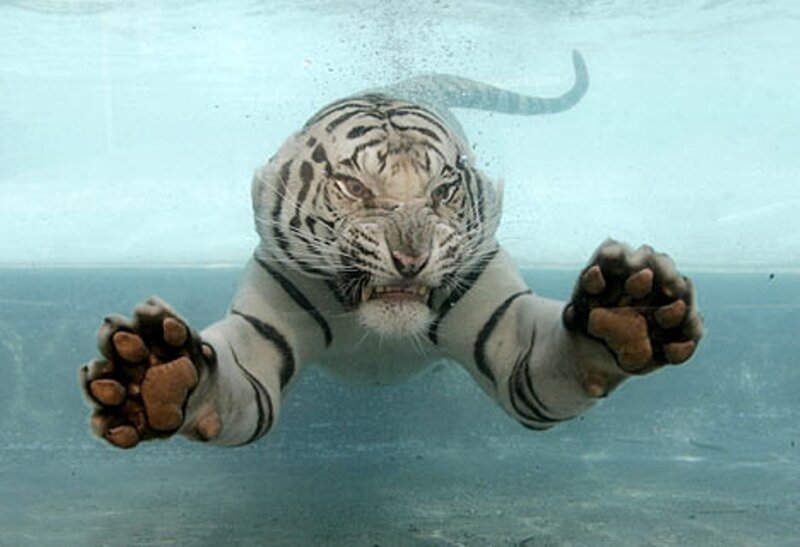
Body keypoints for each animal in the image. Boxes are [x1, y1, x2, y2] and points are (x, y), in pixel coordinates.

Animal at [80, 51, 703, 448]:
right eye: (355, 188)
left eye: (443, 191)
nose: (411, 259)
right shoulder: (261, 338)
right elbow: (223, 384)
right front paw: (150, 378)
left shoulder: (506, 330)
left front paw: (627, 314)